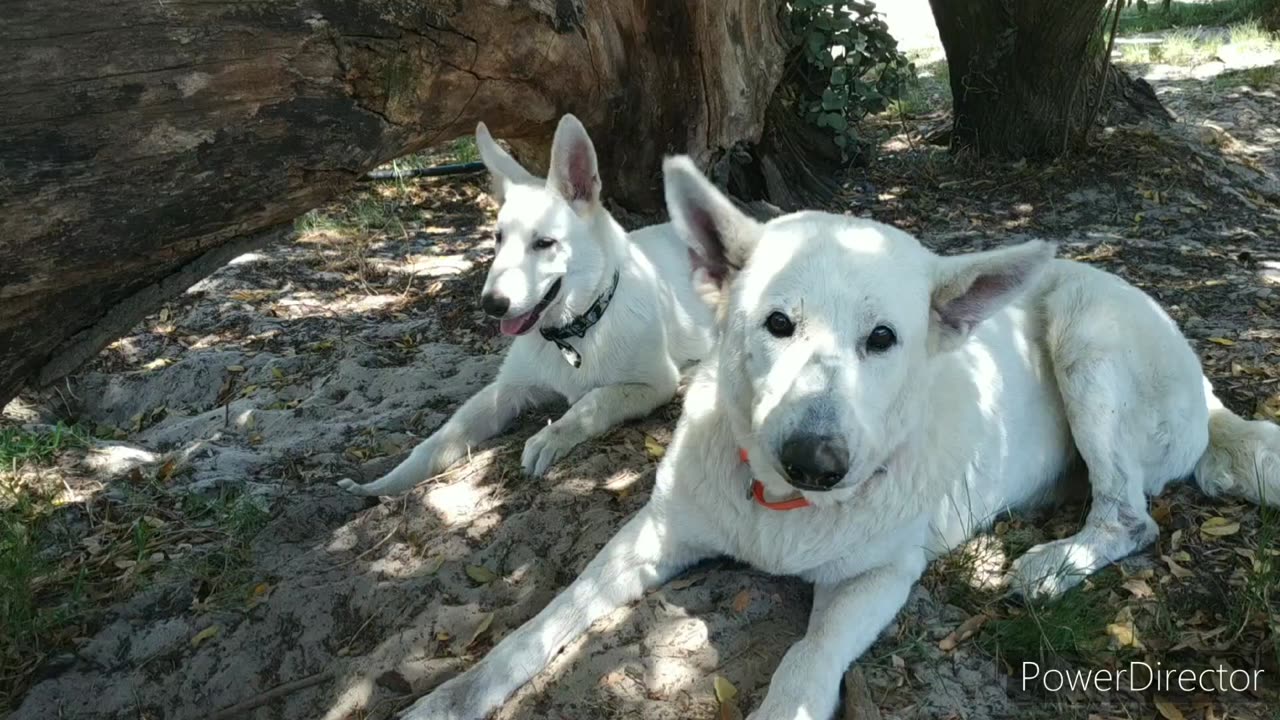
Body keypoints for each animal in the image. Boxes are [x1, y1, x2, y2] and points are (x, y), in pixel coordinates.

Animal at [394, 158, 1274, 717]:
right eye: (777, 324)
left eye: (883, 340)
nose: (816, 462)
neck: (781, 509)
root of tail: (1210, 390)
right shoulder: (652, 534)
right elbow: (547, 618)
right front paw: (452, 697)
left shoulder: (879, 576)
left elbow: (804, 661)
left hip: (1088, 334)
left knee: (1131, 515)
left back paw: (1055, 564)